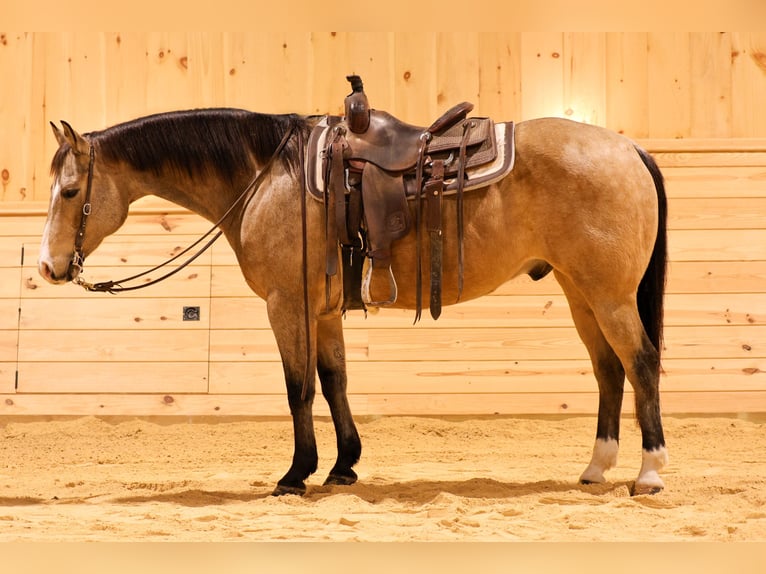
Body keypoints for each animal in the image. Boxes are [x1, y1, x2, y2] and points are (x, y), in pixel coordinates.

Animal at [39, 107, 668, 496]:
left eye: (69, 192)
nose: (48, 267)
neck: (270, 177)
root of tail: (628, 147)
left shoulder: (287, 304)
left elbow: (298, 387)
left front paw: (296, 473)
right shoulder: (322, 311)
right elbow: (335, 381)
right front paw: (343, 466)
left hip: (609, 296)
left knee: (640, 364)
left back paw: (650, 473)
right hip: (580, 293)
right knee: (609, 370)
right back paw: (596, 467)